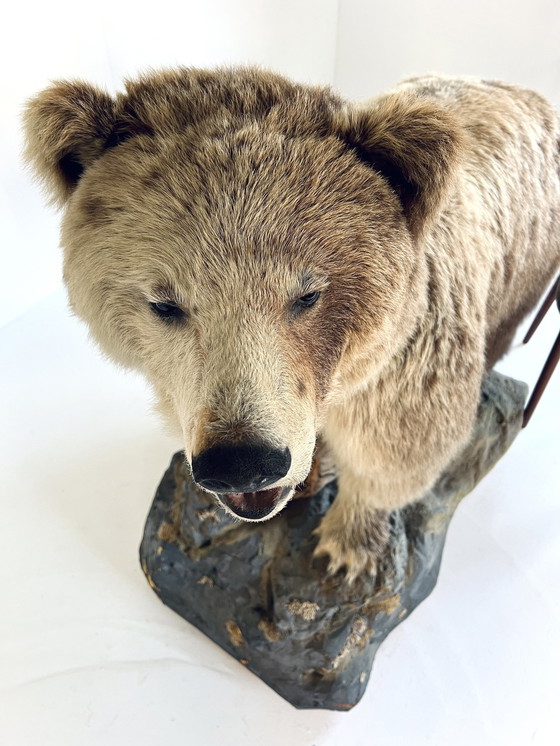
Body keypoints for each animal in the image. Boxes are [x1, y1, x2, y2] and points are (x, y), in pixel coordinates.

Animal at [23, 67, 560, 582]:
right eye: (165, 303)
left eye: (308, 295)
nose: (242, 463)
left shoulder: (407, 361)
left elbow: (394, 452)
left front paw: (347, 548)